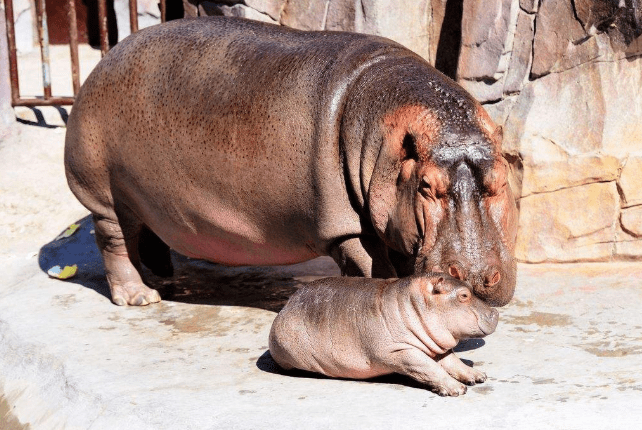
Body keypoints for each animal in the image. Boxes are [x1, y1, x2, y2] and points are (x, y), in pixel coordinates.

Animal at [63, 15, 516, 306]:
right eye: (426, 187)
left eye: (502, 180)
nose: (474, 277)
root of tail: (101, 62)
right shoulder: (347, 228)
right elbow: (374, 268)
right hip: (103, 194)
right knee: (114, 241)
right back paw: (141, 297)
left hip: (146, 196)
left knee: (146, 232)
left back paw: (161, 277)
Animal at [268, 276, 498, 396]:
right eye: (463, 295)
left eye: (469, 287)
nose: (495, 312)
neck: (414, 305)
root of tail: (286, 305)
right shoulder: (399, 352)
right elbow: (429, 367)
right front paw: (457, 390)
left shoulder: (434, 344)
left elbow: (452, 360)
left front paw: (478, 376)